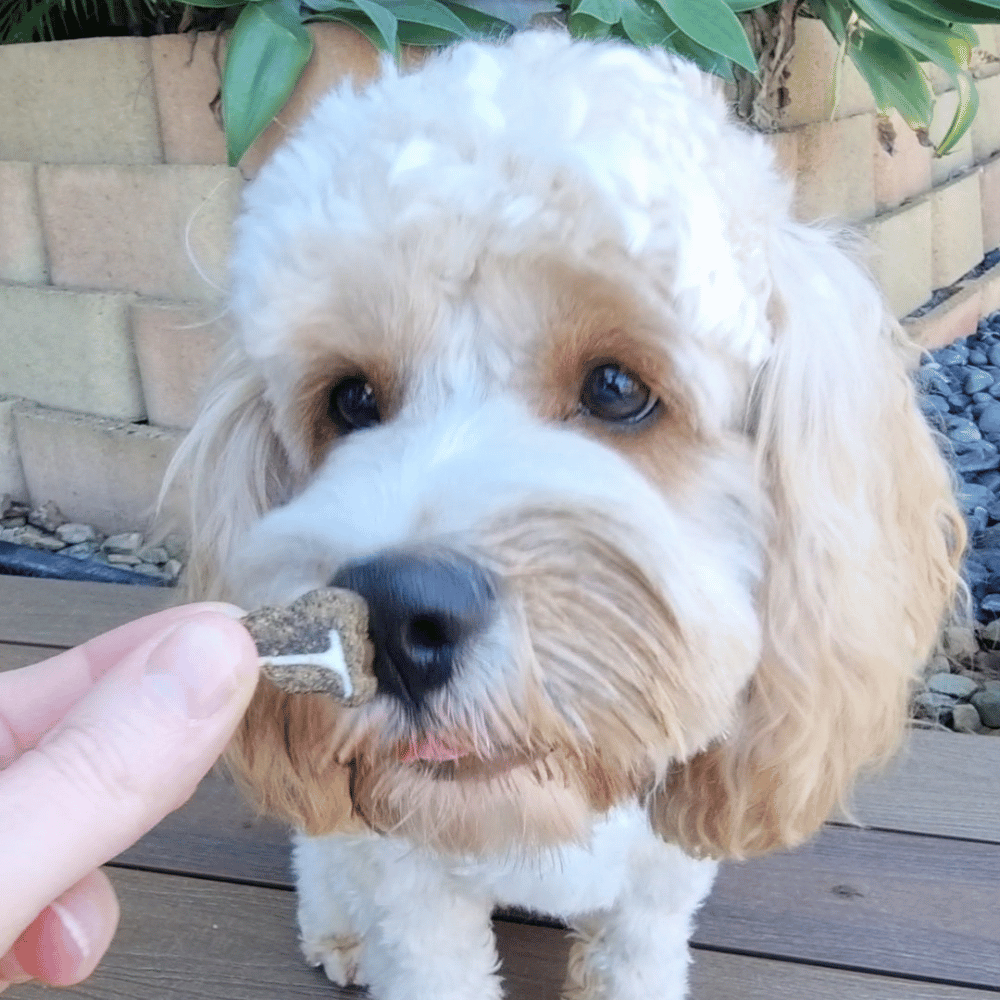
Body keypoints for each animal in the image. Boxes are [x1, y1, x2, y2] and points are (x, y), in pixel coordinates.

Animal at [170, 29, 960, 1000]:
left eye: (617, 388)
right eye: (350, 399)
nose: (393, 618)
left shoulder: (660, 889)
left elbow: (638, 956)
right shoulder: (414, 893)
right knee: (321, 858)